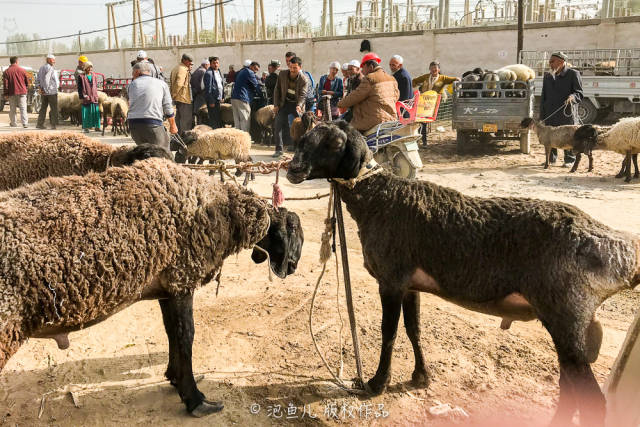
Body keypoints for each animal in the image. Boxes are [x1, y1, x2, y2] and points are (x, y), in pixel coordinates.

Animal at [0, 160, 304, 418]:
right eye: (292, 230)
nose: (292, 267)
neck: (225, 211)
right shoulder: (183, 277)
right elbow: (186, 336)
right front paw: (196, 400)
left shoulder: (168, 286)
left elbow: (172, 333)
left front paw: (174, 378)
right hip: (6, 327)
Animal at [288, 119, 640, 427]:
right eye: (304, 138)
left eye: (335, 143)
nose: (293, 169)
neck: (379, 198)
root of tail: (620, 250)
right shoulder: (410, 284)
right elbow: (414, 329)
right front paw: (421, 376)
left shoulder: (391, 279)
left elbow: (389, 332)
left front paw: (377, 383)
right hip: (567, 321)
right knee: (569, 387)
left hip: (566, 312)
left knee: (590, 398)